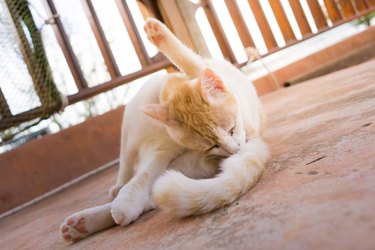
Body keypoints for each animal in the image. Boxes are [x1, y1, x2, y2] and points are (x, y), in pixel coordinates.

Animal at [59, 17, 270, 242]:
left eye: (232, 129)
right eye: (211, 146)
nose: (235, 150)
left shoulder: (163, 151)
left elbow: (142, 175)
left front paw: (126, 199)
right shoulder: (132, 138)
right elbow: (127, 165)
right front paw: (121, 187)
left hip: (188, 163)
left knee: (152, 195)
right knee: (144, 188)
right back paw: (81, 224)